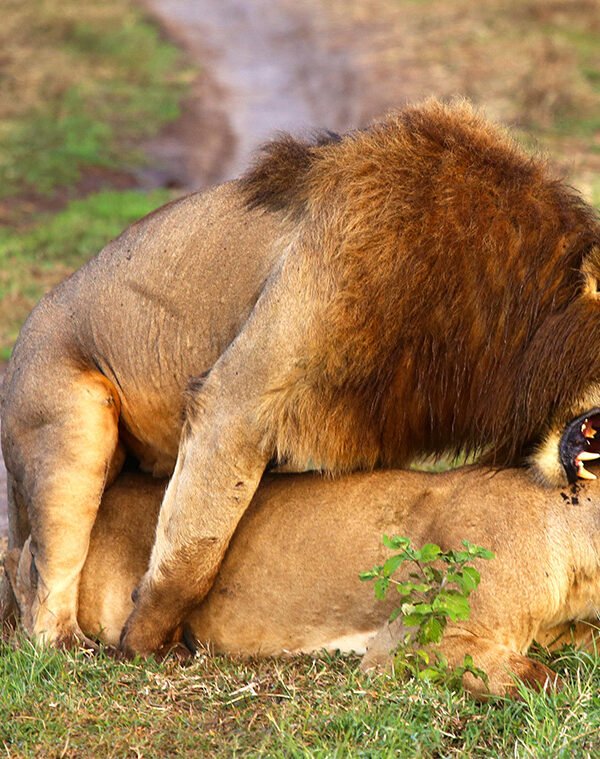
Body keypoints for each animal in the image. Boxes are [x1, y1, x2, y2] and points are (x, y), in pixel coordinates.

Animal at [1, 99, 600, 654]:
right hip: (71, 428)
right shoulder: (236, 399)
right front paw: (145, 642)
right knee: (40, 578)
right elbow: (195, 554)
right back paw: (71, 644)